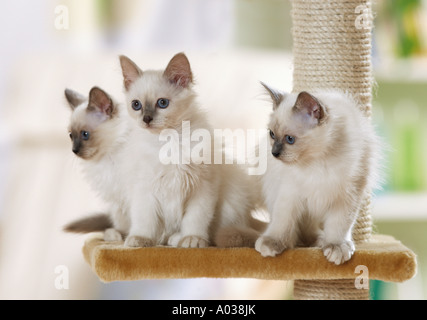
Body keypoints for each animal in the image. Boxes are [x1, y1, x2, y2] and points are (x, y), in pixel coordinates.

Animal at [256, 83, 380, 264]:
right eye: (272, 134)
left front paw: (335, 246)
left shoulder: (348, 195)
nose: (274, 153)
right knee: (304, 229)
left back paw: (323, 241)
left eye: (290, 139)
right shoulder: (290, 193)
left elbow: (339, 225)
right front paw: (273, 243)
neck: (317, 162)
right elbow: (282, 221)